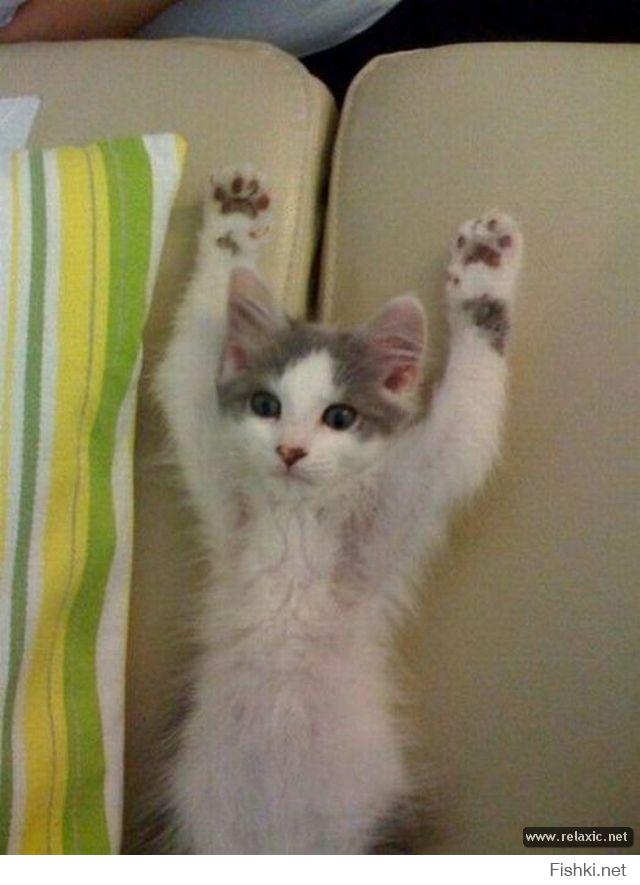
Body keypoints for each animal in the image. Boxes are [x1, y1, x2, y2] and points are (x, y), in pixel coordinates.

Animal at [151, 166, 523, 853]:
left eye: (340, 417)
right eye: (266, 406)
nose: (291, 450)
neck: (298, 521)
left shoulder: (415, 485)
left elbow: (466, 416)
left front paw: (484, 273)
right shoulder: (216, 465)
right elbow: (186, 358)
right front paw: (234, 224)